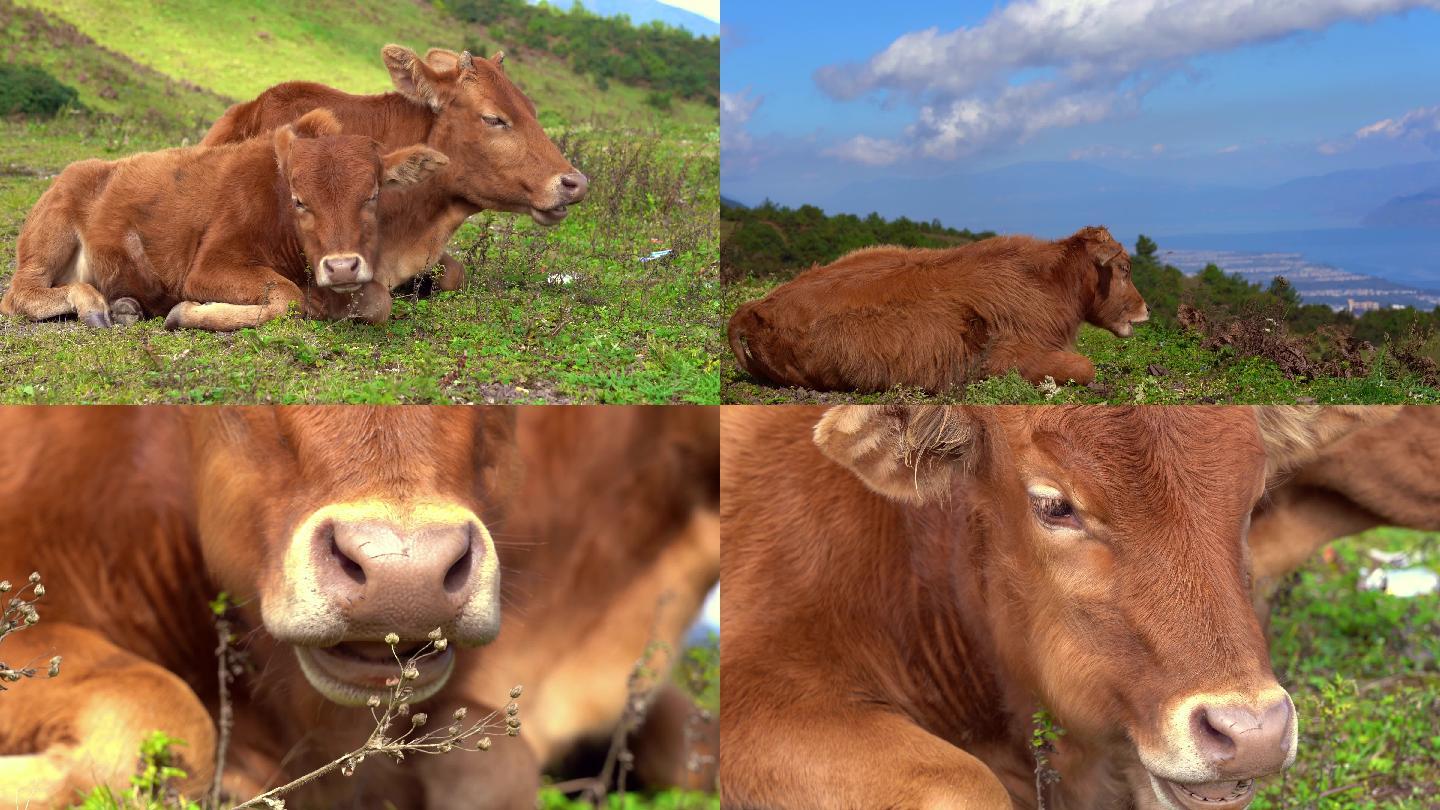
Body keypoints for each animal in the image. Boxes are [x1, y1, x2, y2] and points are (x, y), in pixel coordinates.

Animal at [0, 108, 446, 330]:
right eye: (299, 201)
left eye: (372, 195)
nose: (340, 267)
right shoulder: (209, 266)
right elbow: (287, 298)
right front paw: (186, 313)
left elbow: (378, 302)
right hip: (49, 236)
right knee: (19, 294)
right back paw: (94, 305)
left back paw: (125, 306)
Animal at [731, 223, 1146, 392]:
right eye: (1125, 268)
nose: (1144, 311)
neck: (1048, 282)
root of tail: (756, 307)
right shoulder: (1006, 357)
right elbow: (1084, 366)